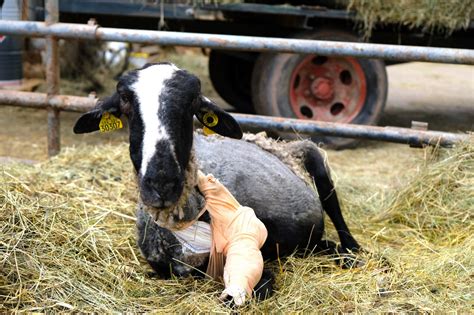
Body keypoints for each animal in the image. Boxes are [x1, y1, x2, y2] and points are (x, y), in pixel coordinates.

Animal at [74, 62, 362, 304]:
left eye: (192, 101)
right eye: (125, 100)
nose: (162, 184)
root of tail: (266, 140)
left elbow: (251, 288)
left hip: (311, 155)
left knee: (332, 207)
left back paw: (350, 251)